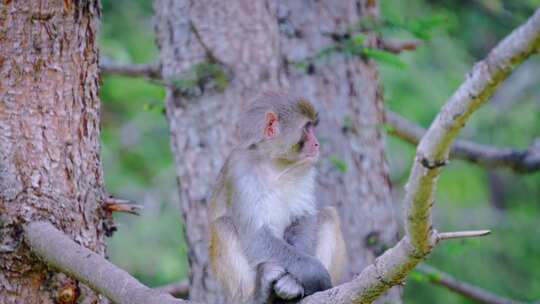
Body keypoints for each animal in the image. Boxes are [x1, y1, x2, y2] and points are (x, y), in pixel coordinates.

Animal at [208, 91, 346, 302]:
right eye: (307, 128)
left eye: (312, 127)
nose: (317, 144)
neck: (275, 164)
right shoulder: (239, 170)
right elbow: (256, 236)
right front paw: (315, 272)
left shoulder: (305, 170)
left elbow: (303, 219)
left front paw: (294, 282)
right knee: (222, 225)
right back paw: (259, 294)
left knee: (328, 215)